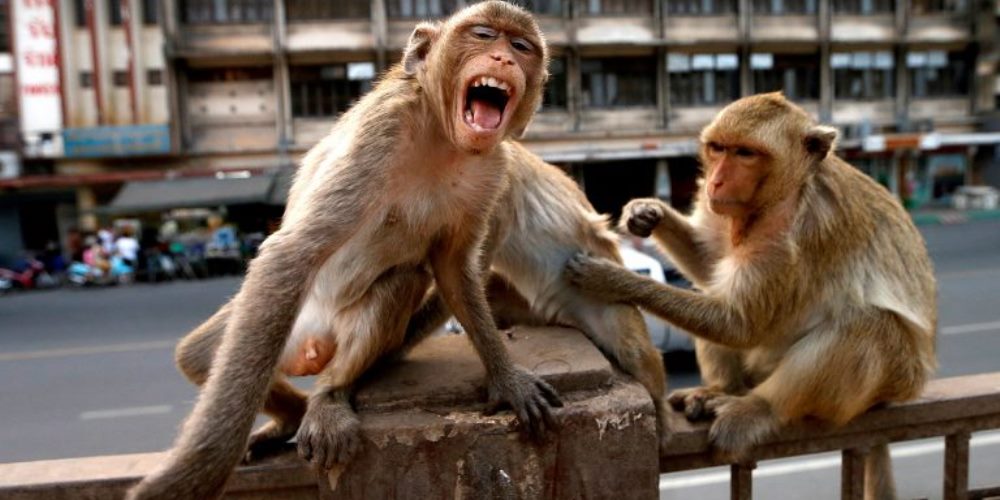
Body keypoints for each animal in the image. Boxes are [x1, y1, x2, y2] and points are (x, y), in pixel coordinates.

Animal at [127, 3, 562, 498]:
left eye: (521, 47)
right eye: (485, 34)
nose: (504, 59)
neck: (443, 137)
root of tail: (314, 342)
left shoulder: (493, 167)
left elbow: (453, 268)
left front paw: (506, 378)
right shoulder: (383, 130)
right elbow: (291, 253)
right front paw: (199, 469)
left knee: (401, 282)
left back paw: (325, 396)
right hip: (282, 322)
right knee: (202, 354)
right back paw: (293, 414)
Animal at [565, 92, 936, 499]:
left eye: (745, 153)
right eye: (718, 148)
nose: (716, 181)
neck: (783, 194)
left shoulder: (794, 236)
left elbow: (740, 324)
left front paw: (610, 279)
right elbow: (711, 267)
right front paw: (648, 212)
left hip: (890, 382)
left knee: (867, 325)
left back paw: (760, 407)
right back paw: (719, 389)